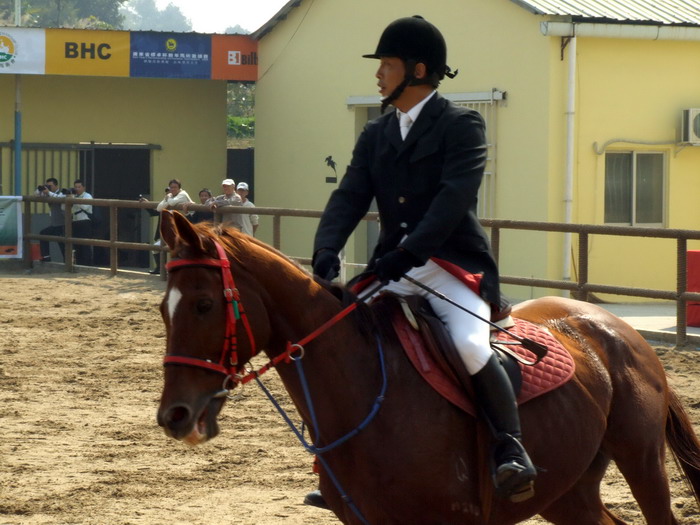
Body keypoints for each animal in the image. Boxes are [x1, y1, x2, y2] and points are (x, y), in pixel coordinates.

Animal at [157, 210, 700, 524]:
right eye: (164, 307)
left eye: (204, 304)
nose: (174, 416)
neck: (367, 391)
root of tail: (618, 328)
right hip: (568, 489)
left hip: (641, 460)